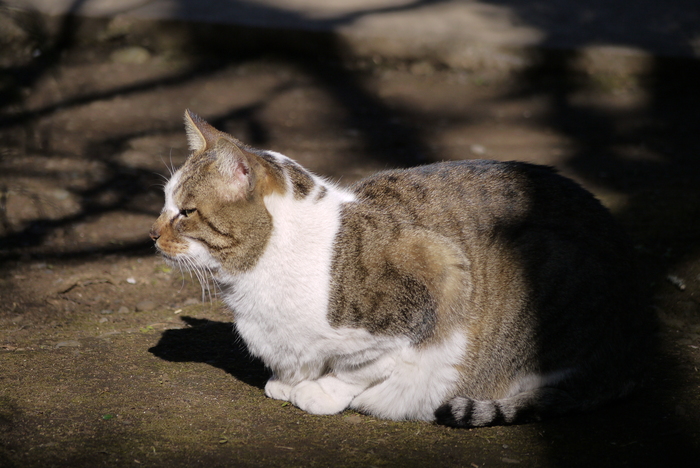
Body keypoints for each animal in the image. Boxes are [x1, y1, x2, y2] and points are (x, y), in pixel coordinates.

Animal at [150, 110, 652, 428]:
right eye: (163, 204)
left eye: (186, 212)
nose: (151, 234)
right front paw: (290, 382)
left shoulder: (442, 275)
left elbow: (361, 366)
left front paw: (318, 391)